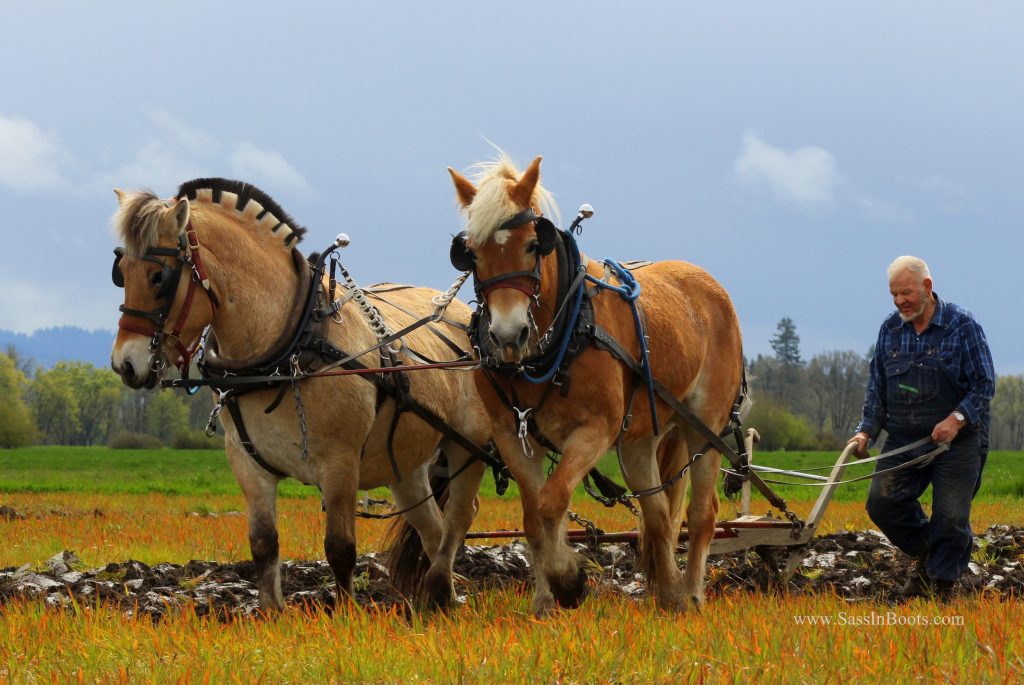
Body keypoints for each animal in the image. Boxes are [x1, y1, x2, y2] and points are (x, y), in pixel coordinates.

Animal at [110, 178, 493, 610]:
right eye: (120, 273)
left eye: (159, 277)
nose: (125, 364)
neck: (288, 344)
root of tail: (461, 314)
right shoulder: (246, 462)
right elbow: (263, 545)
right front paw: (273, 614)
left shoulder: (340, 464)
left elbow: (340, 548)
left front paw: (347, 616)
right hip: (405, 464)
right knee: (432, 526)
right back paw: (438, 600)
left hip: (468, 446)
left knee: (460, 515)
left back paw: (442, 586)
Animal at [448, 154, 745, 614]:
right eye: (472, 254)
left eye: (533, 244)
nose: (508, 335)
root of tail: (711, 286)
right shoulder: (513, 434)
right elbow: (533, 516)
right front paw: (544, 601)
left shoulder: (594, 431)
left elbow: (552, 501)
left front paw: (569, 580)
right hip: (640, 440)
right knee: (658, 514)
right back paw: (670, 594)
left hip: (706, 425)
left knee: (702, 513)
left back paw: (693, 595)